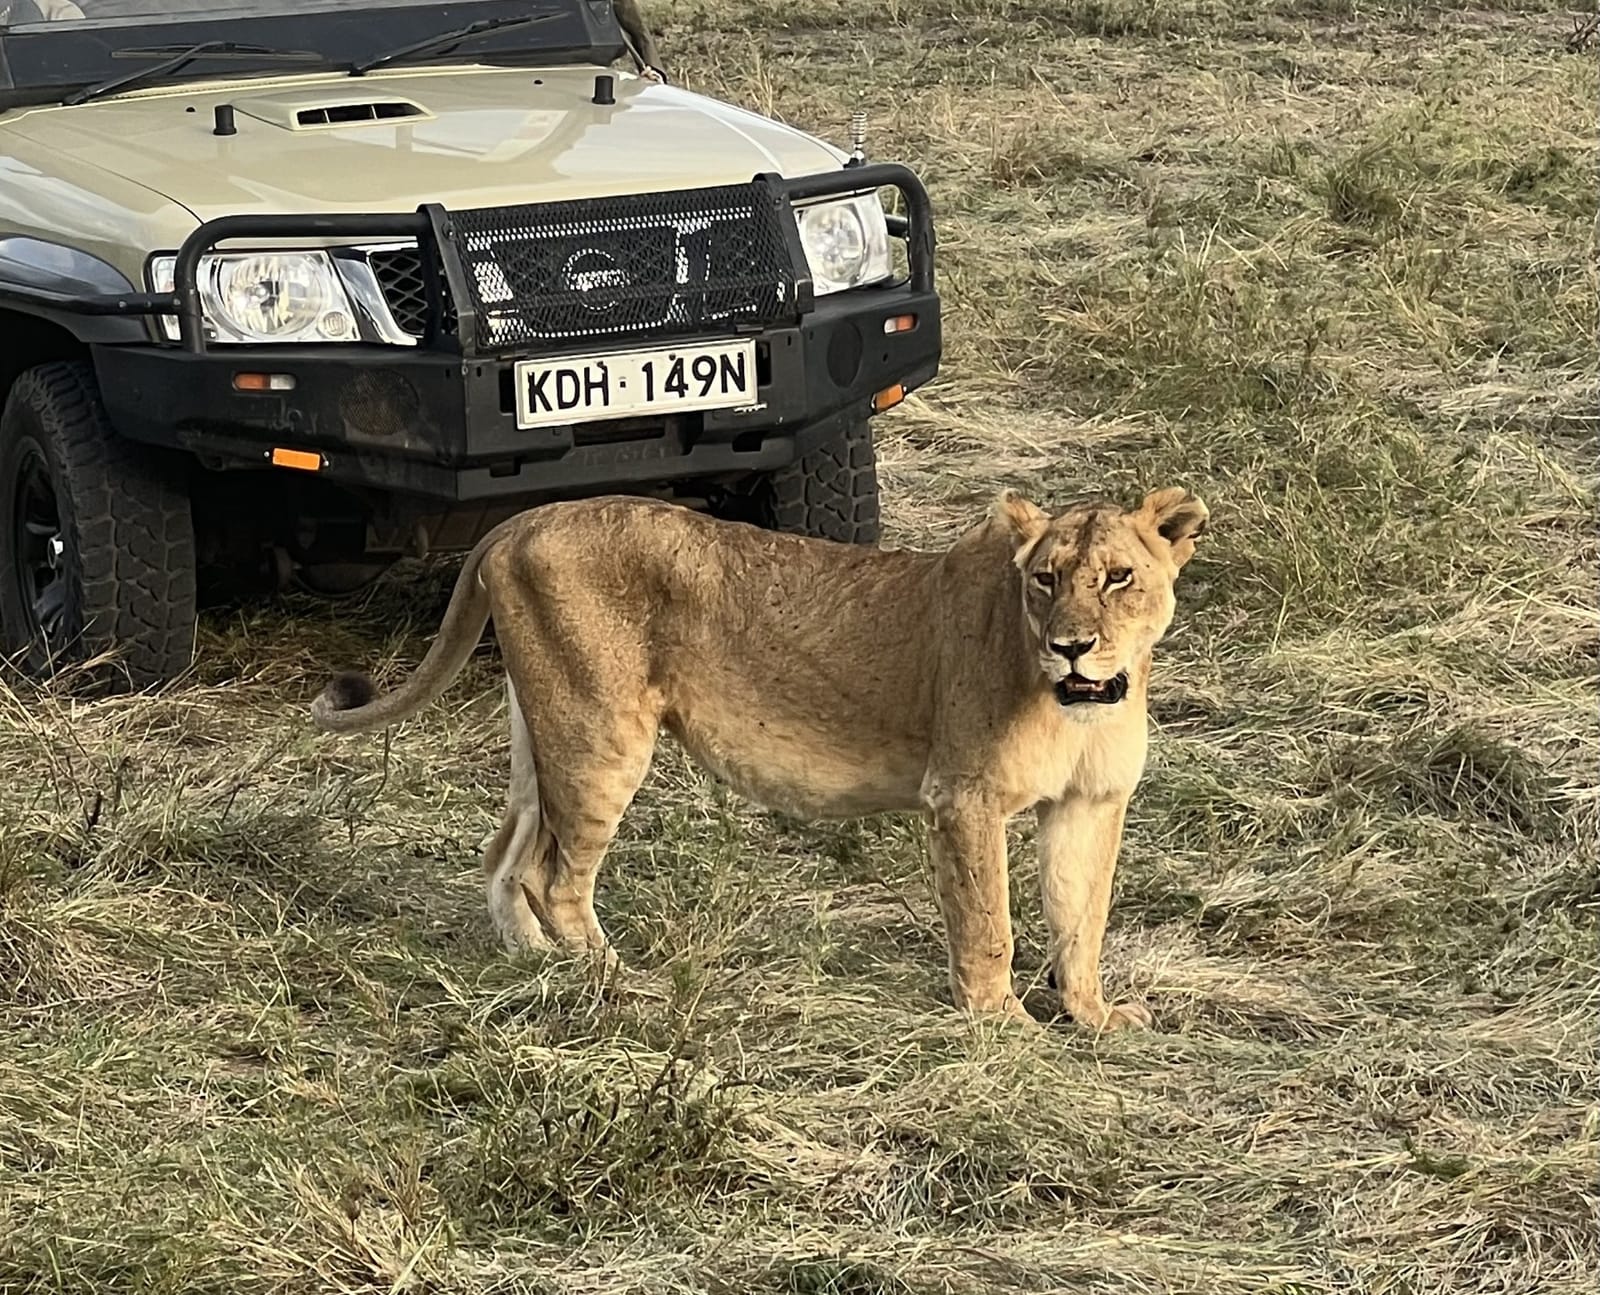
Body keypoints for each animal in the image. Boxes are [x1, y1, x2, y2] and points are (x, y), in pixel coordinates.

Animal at [310, 487, 1209, 1030]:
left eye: (1119, 577)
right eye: (1045, 579)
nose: (1072, 646)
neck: (1081, 706)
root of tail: (518, 520)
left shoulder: (1090, 803)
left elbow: (1081, 917)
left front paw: (1095, 1016)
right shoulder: (965, 795)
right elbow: (990, 920)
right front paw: (1003, 1023)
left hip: (548, 731)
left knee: (505, 856)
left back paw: (536, 971)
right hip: (600, 736)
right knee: (555, 877)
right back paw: (617, 983)